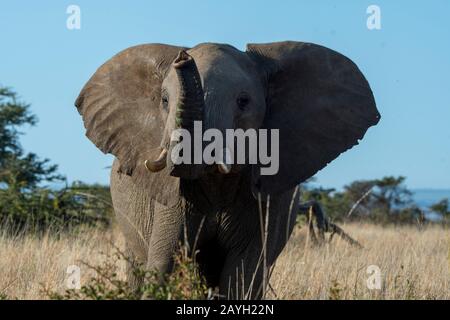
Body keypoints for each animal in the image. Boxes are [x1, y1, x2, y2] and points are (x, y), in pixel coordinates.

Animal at [74, 41, 380, 298]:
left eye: (243, 102)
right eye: (164, 100)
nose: (183, 58)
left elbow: (243, 274)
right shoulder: (171, 199)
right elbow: (164, 265)